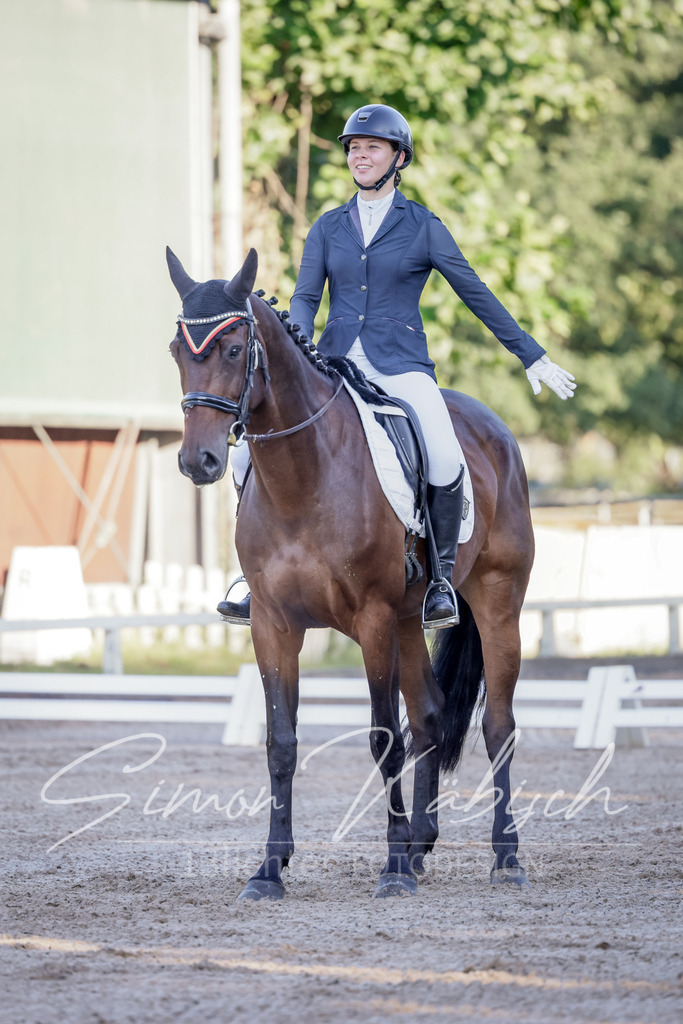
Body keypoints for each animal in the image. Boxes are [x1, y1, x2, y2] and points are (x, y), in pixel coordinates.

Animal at [167, 246, 535, 900]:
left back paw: (504, 856)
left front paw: (390, 871)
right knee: (432, 715)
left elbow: (383, 736)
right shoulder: (273, 624)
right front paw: (269, 871)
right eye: (175, 351)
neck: (302, 475)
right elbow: (281, 742)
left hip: (496, 602)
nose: (198, 461)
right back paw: (420, 846)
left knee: (497, 725)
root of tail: (497, 431)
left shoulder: (373, 620)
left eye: (234, 350)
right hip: (413, 620)